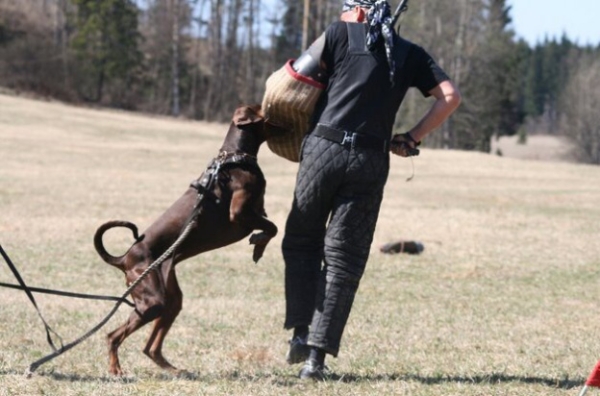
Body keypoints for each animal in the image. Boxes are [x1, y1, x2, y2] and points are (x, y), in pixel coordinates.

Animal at [94, 104, 278, 374]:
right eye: (263, 109)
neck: (235, 157)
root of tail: (125, 258)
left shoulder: (256, 211)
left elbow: (269, 225)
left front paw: (259, 245)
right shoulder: (239, 213)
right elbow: (272, 227)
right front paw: (259, 245)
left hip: (169, 297)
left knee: (151, 346)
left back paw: (170, 368)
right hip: (152, 300)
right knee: (113, 336)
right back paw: (116, 369)